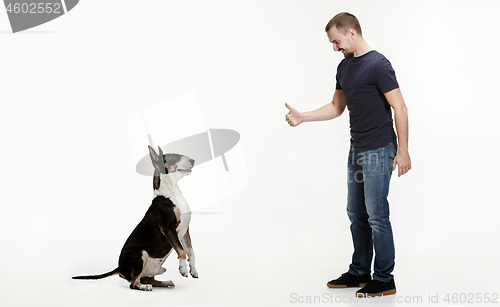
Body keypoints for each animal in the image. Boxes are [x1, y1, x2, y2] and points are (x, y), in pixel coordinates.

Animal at [73, 146, 198, 292]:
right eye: (172, 157)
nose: (193, 160)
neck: (171, 194)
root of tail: (120, 268)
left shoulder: (185, 231)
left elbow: (190, 251)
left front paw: (193, 271)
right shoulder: (168, 228)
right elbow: (181, 250)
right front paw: (183, 269)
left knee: (148, 278)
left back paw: (165, 282)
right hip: (141, 254)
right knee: (133, 283)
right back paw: (145, 287)